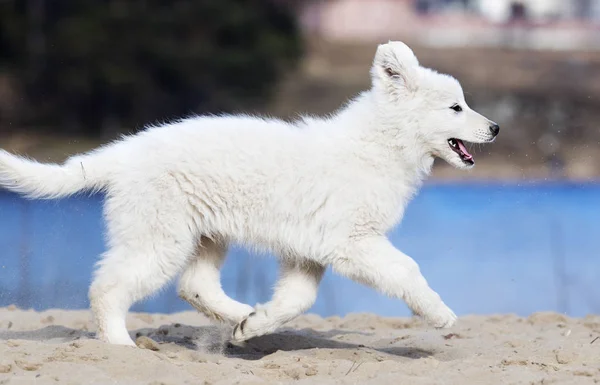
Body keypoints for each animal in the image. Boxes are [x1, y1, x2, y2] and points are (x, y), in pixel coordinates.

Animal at [0, 42, 496, 344]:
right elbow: (407, 269)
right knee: (108, 286)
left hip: (204, 234)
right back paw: (120, 346)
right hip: (160, 238)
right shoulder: (354, 241)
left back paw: (238, 314)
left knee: (193, 285)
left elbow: (298, 300)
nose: (495, 128)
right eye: (456, 107)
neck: (380, 144)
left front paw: (256, 325)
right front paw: (439, 314)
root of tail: (124, 151)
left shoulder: (308, 250)